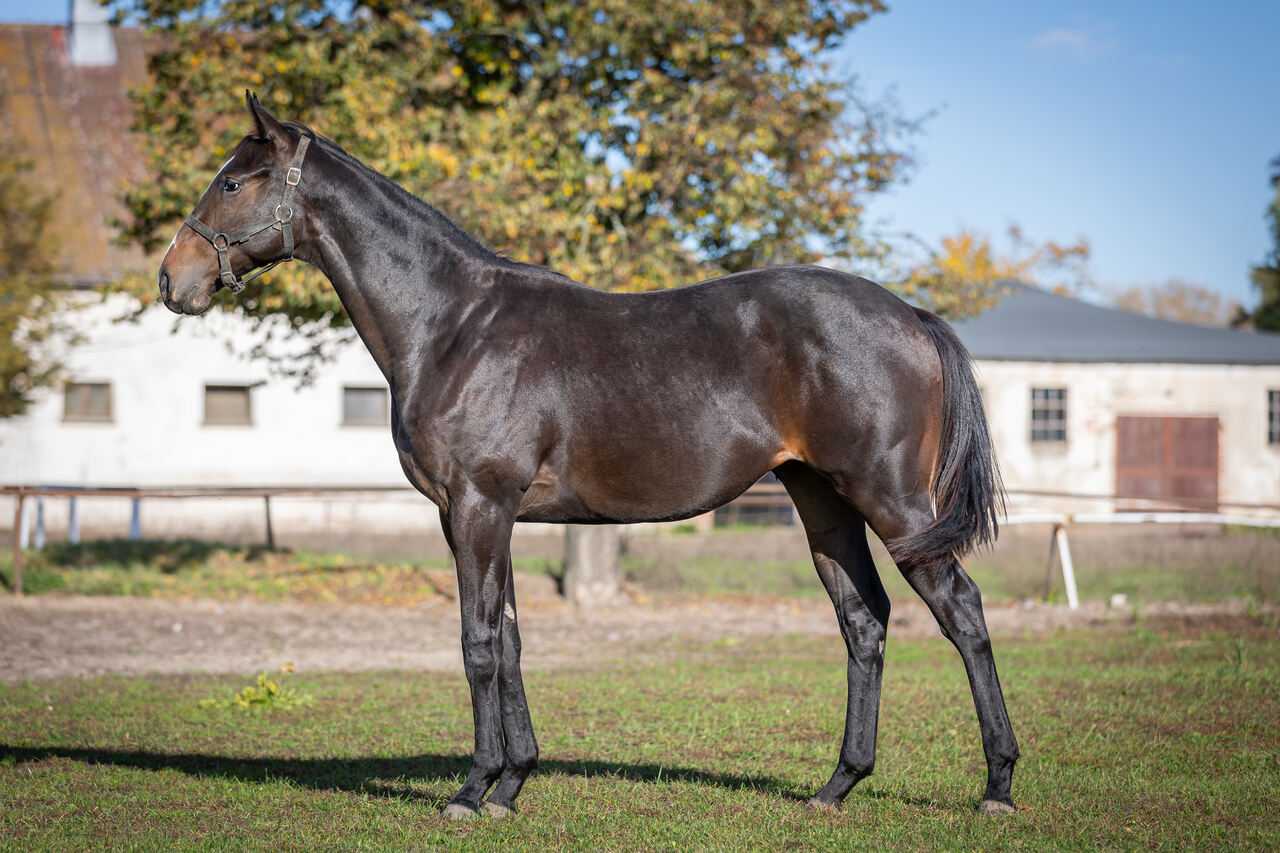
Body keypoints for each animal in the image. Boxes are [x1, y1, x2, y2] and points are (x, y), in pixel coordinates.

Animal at [159, 92, 1019, 819]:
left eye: (234, 181)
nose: (173, 280)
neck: (454, 324)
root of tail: (908, 313)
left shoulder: (479, 505)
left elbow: (477, 642)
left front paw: (471, 789)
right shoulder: (482, 514)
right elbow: (507, 637)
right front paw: (511, 784)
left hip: (894, 501)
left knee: (963, 611)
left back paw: (998, 785)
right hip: (821, 501)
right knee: (864, 622)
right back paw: (836, 785)